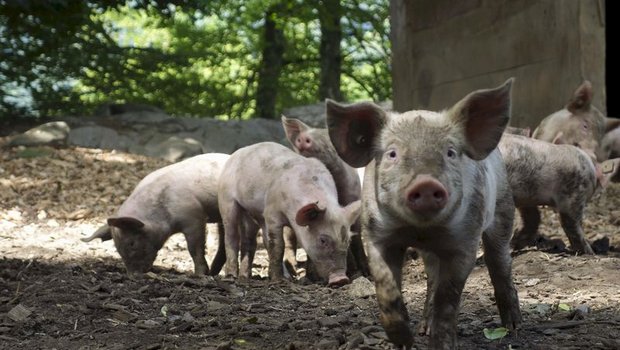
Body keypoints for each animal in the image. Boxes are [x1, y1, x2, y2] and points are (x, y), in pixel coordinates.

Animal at [80, 153, 230, 276]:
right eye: (117, 247)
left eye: (132, 243)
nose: (133, 275)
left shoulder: (194, 217)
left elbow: (194, 248)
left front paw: (199, 275)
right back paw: (214, 273)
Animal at [219, 142, 360, 288]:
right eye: (323, 240)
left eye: (348, 240)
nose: (341, 279)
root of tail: (238, 152)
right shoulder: (271, 212)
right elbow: (278, 245)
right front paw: (277, 281)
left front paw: (311, 279)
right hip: (226, 199)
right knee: (231, 235)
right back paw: (232, 277)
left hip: (253, 214)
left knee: (252, 240)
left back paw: (249, 277)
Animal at [282, 116, 372, 278]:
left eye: (329, 138)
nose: (303, 137)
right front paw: (311, 277)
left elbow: (356, 238)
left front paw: (365, 272)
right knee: (289, 240)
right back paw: (293, 270)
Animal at [324, 80, 524, 348]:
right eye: (392, 153)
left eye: (450, 152)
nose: (426, 183)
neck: (420, 231)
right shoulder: (377, 235)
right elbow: (386, 287)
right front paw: (403, 341)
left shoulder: (465, 241)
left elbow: (448, 298)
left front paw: (442, 344)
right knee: (431, 279)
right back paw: (423, 329)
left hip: (503, 209)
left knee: (499, 263)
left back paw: (514, 327)